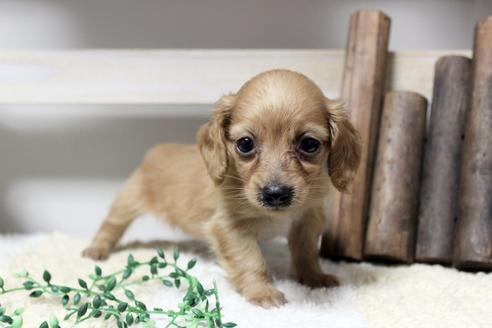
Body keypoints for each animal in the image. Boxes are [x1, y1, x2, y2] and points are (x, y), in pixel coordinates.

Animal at [82, 69, 362, 308]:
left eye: (309, 144)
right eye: (245, 144)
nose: (275, 194)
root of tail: (156, 150)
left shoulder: (308, 219)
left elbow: (306, 253)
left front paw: (314, 278)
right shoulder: (230, 227)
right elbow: (251, 260)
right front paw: (261, 292)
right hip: (128, 200)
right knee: (111, 225)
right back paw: (96, 250)